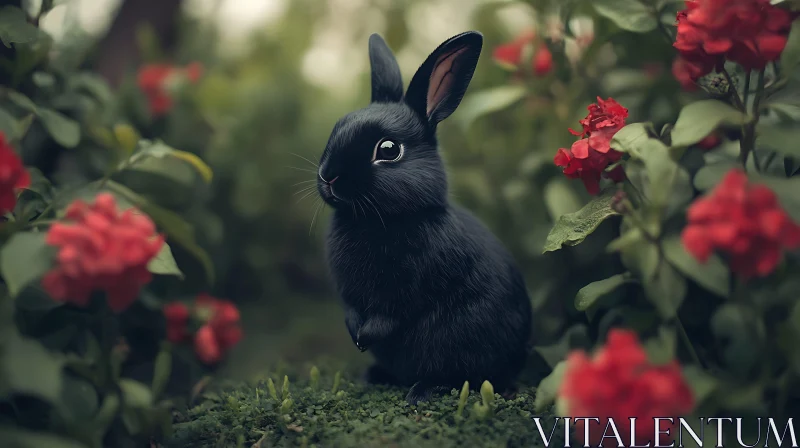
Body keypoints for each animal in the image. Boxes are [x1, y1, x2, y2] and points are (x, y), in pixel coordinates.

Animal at [316, 29, 536, 404]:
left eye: (388, 150)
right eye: (336, 127)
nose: (328, 176)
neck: (376, 220)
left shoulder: (410, 287)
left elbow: (391, 314)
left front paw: (364, 337)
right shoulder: (351, 294)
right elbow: (352, 310)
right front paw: (355, 335)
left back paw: (422, 391)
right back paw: (374, 375)